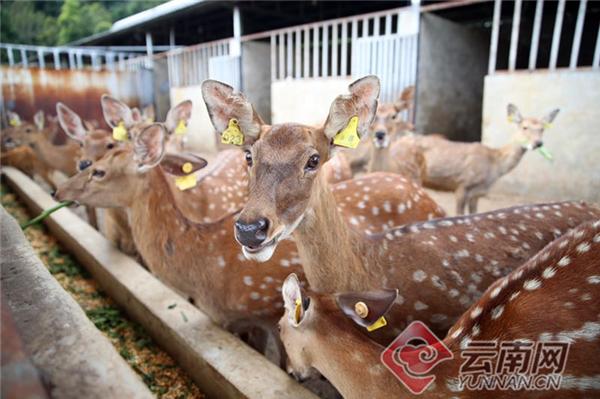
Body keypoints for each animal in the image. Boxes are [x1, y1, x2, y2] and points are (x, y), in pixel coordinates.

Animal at [412, 104, 556, 216]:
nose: (538, 143)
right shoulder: (463, 183)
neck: (494, 167)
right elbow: (459, 214)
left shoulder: (477, 193)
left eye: (542, 129)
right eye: (524, 127)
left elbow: (474, 213)